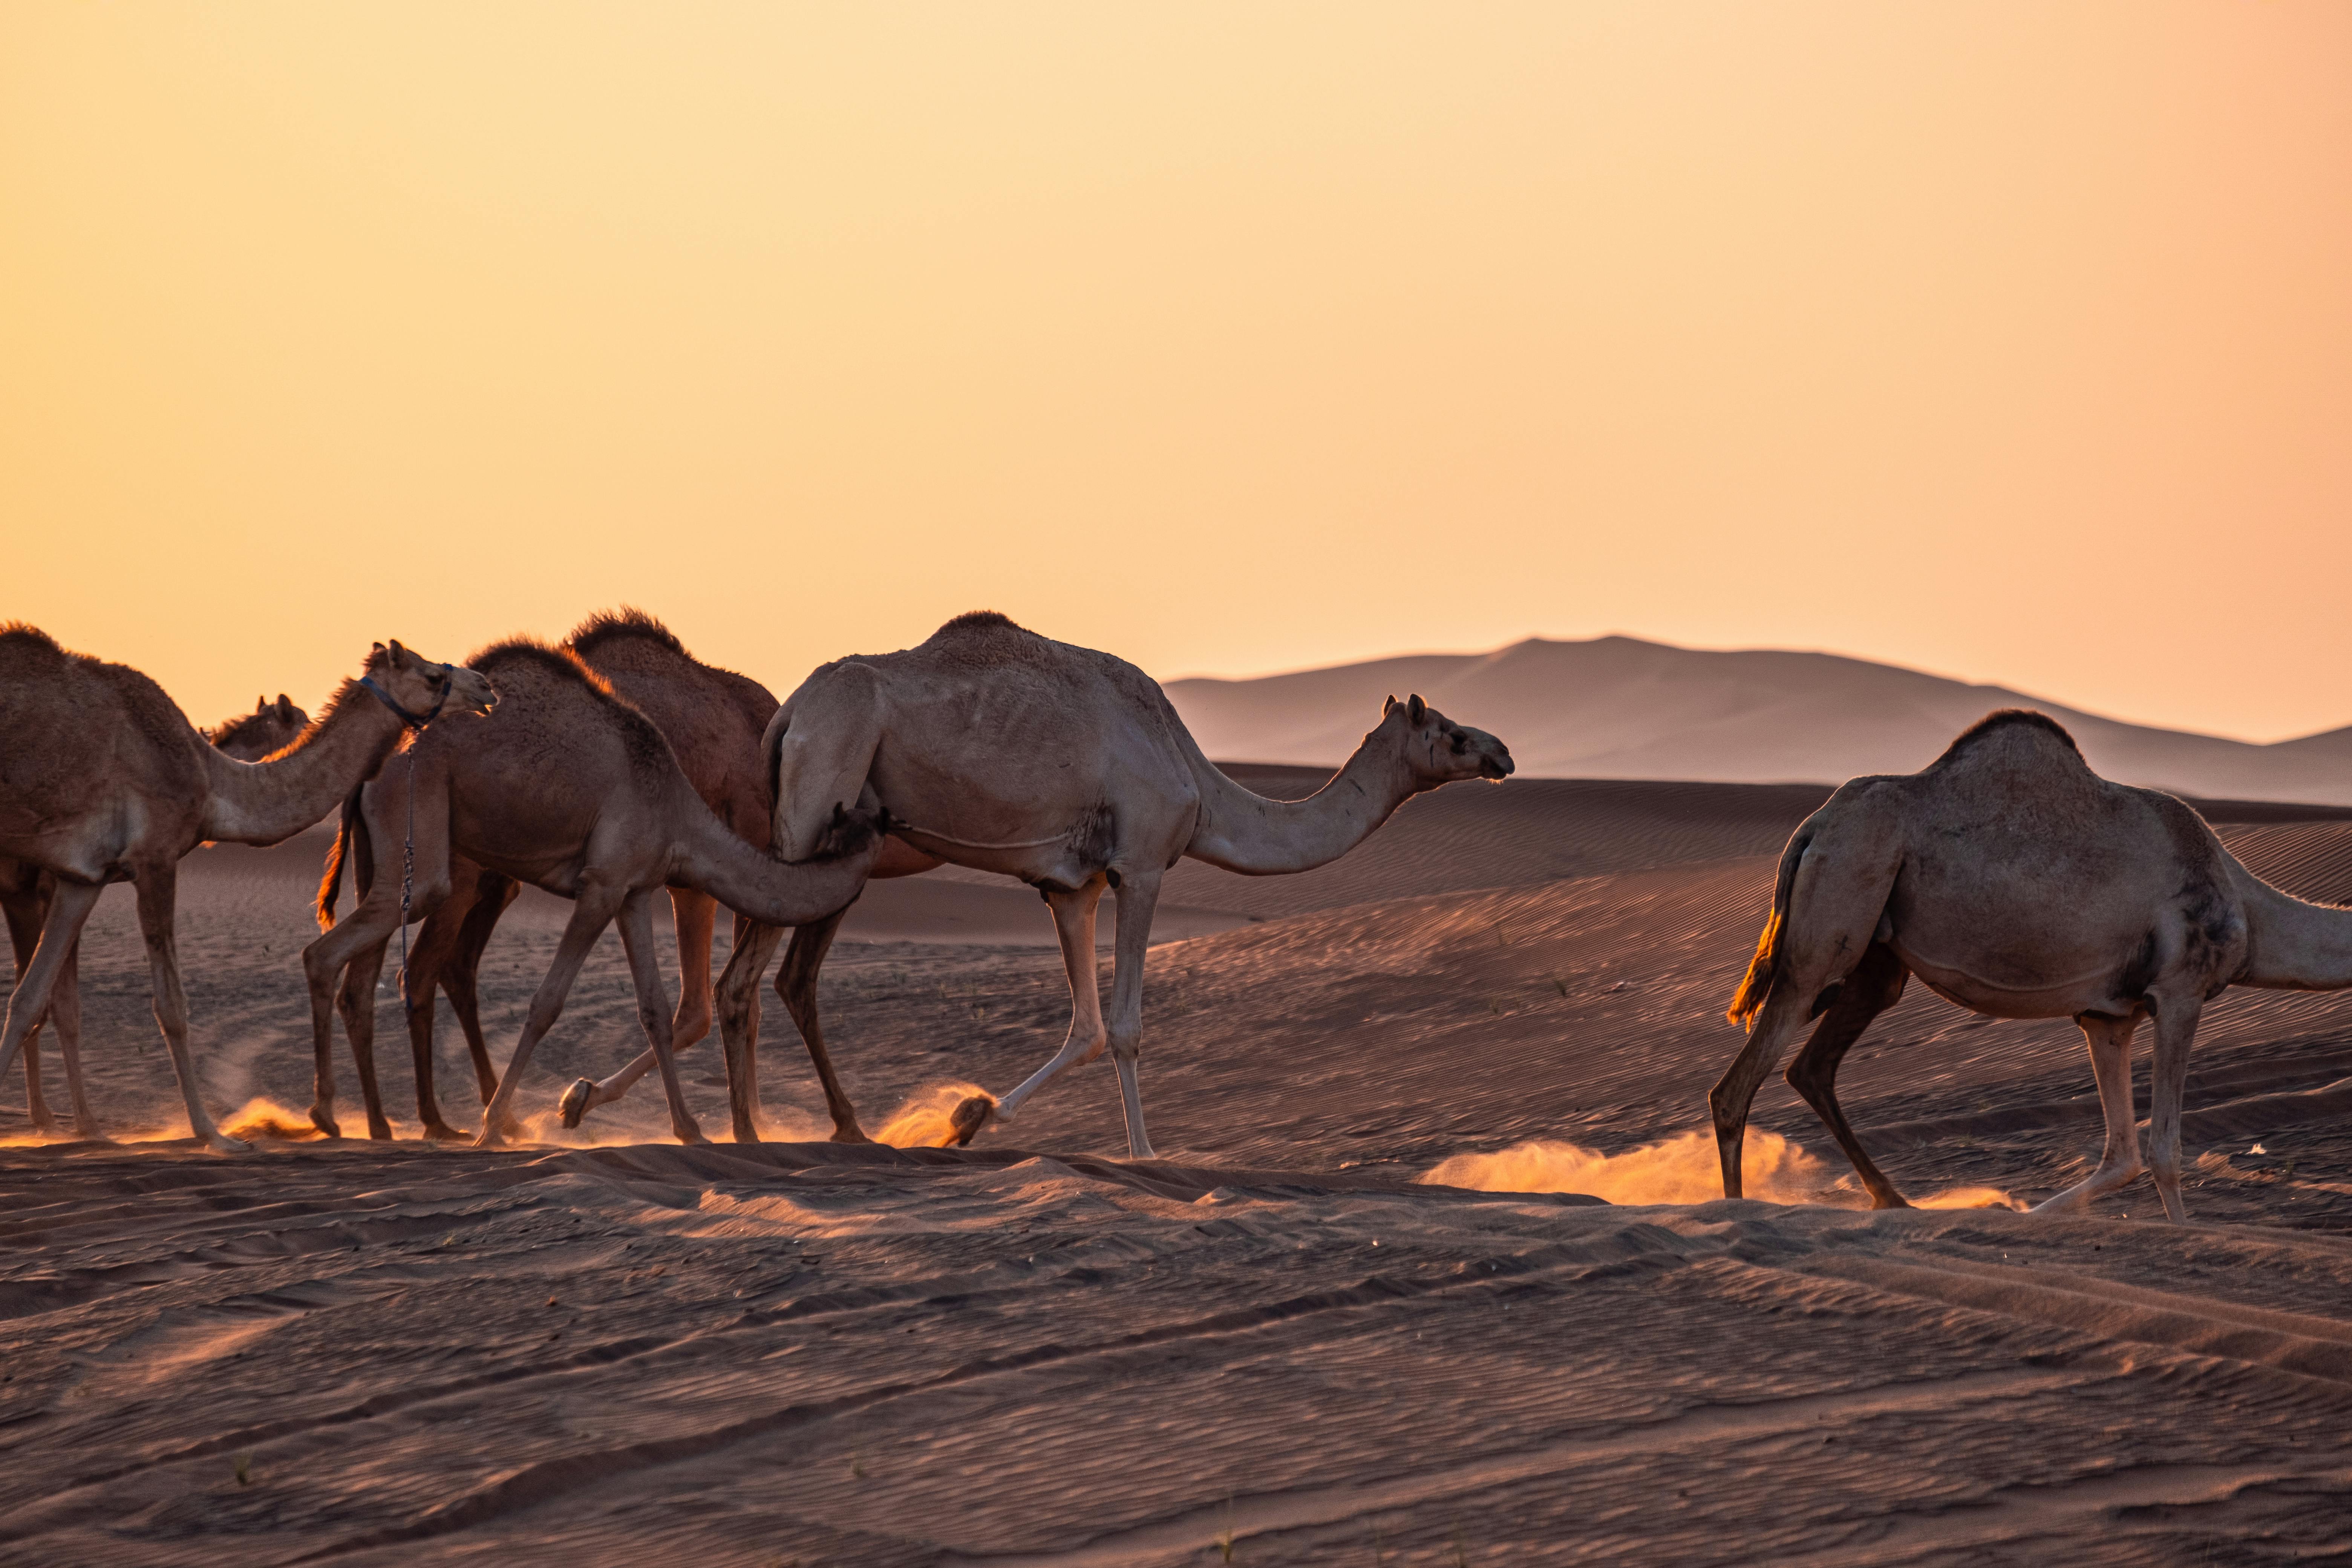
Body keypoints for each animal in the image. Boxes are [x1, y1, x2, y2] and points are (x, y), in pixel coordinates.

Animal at [0, 696, 312, 1142]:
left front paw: (61, 1121)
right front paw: (71, 1122)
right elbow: (54, 1004)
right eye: (303, 722)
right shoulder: (36, 891)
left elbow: (50, 1001)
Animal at [308, 630, 884, 1147]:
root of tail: (372, 769)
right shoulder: (602, 886)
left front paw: (685, 1128)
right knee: (377, 956)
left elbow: (655, 1008)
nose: (892, 823)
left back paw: (376, 1119)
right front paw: (499, 1124)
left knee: (365, 967)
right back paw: (379, 1117)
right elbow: (547, 1003)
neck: (676, 806)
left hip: (384, 858)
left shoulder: (635, 891)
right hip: (427, 851)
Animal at [687, 606, 1514, 1161]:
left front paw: (968, 1118)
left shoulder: (1070, 885)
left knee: (771, 978)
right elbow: (1123, 1027)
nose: (1503, 752)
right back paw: (746, 1135)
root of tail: (791, 711)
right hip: (817, 796)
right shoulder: (1141, 863)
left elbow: (1083, 1025)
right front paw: (1145, 1154)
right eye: (1451, 734)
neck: (1200, 786)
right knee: (744, 980)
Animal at [1721, 710, 2352, 1222]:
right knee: (1739, 1084)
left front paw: (2017, 1214)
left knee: (1811, 1066)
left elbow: (2122, 1156)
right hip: (1834, 910)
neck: (2250, 912)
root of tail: (1813, 827)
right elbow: (2163, 1151)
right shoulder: (2181, 992)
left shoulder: (2108, 1015)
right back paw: (1736, 1210)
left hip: (1877, 954)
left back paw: (1894, 1201)